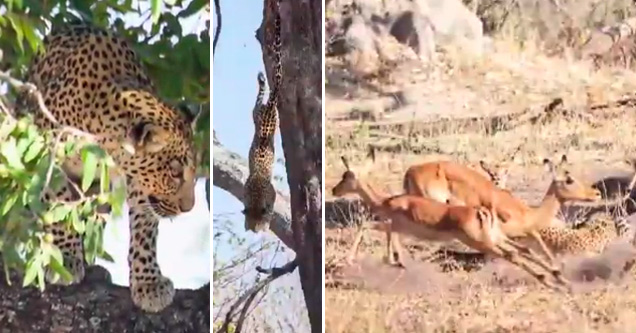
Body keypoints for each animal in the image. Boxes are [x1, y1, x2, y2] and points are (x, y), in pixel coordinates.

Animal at [16, 22, 198, 312]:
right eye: (174, 172)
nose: (188, 207)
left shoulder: (139, 184)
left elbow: (144, 232)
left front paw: (148, 283)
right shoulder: (48, 156)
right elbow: (61, 208)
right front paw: (66, 260)